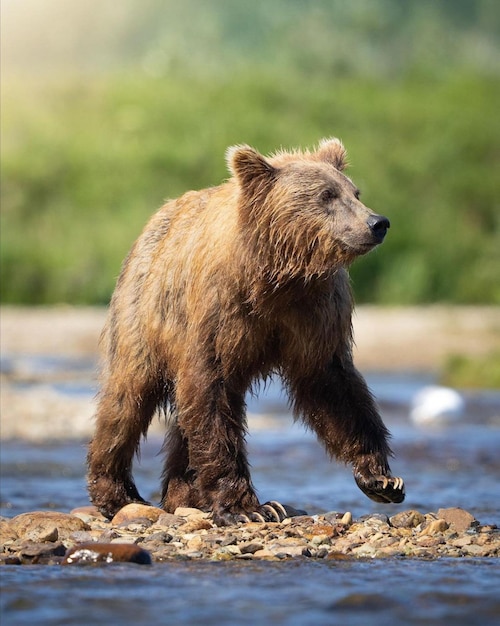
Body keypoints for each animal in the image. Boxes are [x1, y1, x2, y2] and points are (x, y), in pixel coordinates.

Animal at [88, 139, 404, 524]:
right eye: (326, 195)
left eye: (355, 192)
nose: (378, 222)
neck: (278, 276)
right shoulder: (221, 312)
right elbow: (210, 395)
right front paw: (247, 508)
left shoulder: (316, 314)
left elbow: (333, 385)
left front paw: (382, 479)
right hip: (144, 310)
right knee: (127, 398)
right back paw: (118, 494)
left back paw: (185, 494)